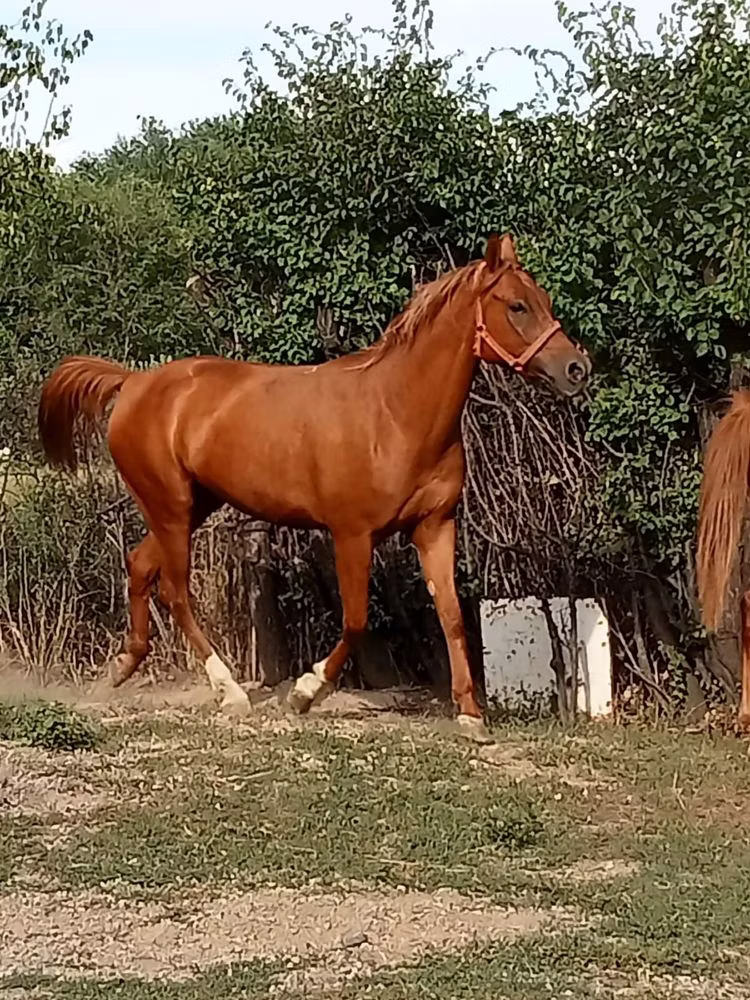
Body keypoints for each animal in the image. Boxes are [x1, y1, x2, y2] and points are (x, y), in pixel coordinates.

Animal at [38, 233, 591, 741]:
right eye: (517, 305)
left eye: (543, 299)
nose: (577, 368)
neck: (395, 413)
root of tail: (132, 382)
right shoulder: (352, 534)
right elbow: (356, 620)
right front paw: (305, 693)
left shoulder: (435, 525)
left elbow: (452, 614)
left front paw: (471, 716)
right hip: (170, 506)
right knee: (175, 591)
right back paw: (230, 692)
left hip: (192, 506)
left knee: (139, 565)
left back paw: (124, 666)